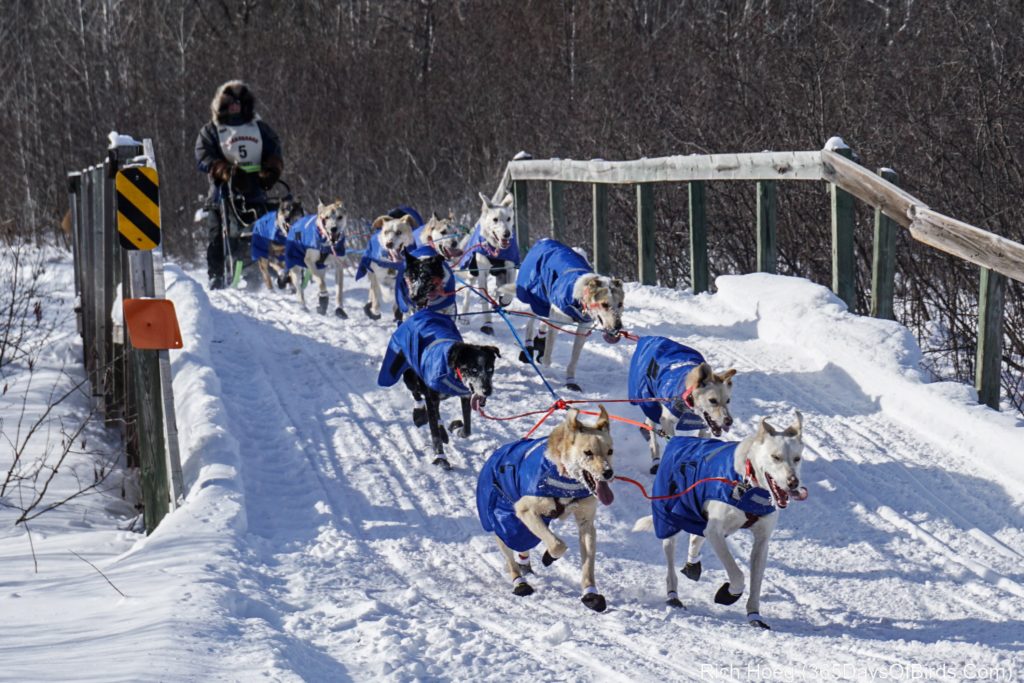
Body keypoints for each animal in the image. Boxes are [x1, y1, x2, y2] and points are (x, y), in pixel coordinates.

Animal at [630, 411, 806, 630]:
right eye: (776, 457)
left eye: (797, 459)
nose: (793, 482)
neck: (746, 482)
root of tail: (676, 441)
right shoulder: (716, 533)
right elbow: (738, 575)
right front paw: (728, 594)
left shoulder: (761, 542)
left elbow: (756, 582)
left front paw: (754, 615)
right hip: (669, 519)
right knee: (671, 561)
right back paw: (673, 595)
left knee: (696, 537)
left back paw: (692, 564)